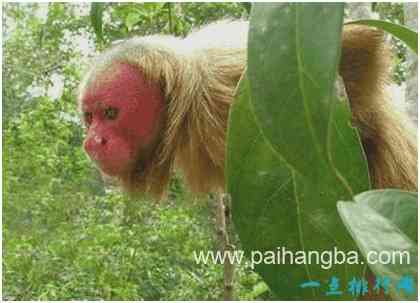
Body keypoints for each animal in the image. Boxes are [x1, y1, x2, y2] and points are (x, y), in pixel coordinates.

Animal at [78, 20, 416, 198]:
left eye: (111, 114)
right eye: (90, 118)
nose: (93, 142)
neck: (185, 106)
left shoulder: (237, 83)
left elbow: (359, 45)